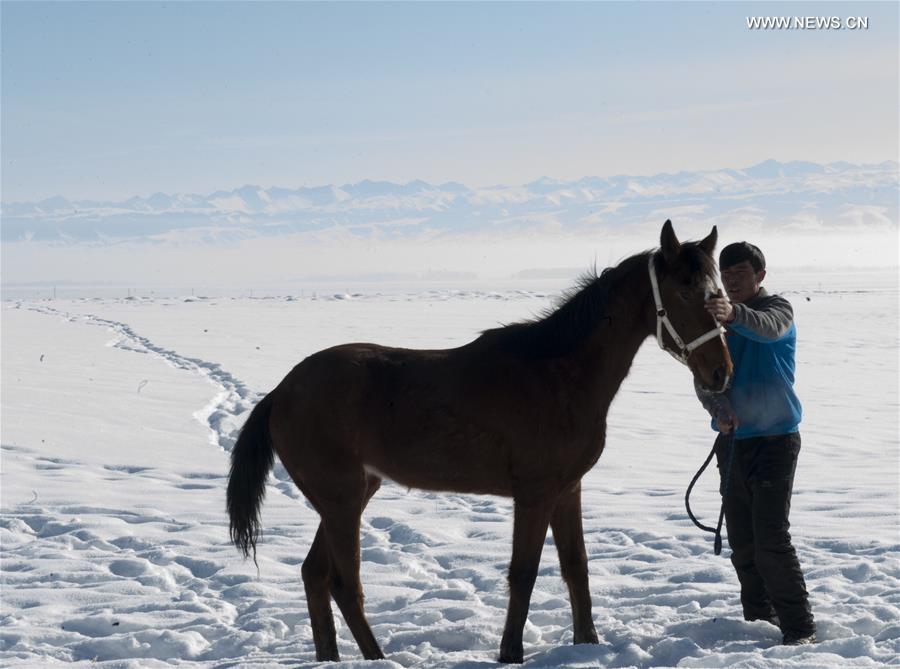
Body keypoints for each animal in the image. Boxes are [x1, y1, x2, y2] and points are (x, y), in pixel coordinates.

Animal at [225, 220, 732, 664]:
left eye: (720, 293)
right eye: (685, 291)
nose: (720, 372)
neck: (557, 373)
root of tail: (281, 391)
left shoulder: (567, 491)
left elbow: (576, 567)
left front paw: (586, 644)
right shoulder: (534, 495)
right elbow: (524, 573)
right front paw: (511, 653)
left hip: (351, 495)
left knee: (315, 574)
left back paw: (330, 658)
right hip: (342, 501)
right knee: (344, 583)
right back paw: (377, 658)